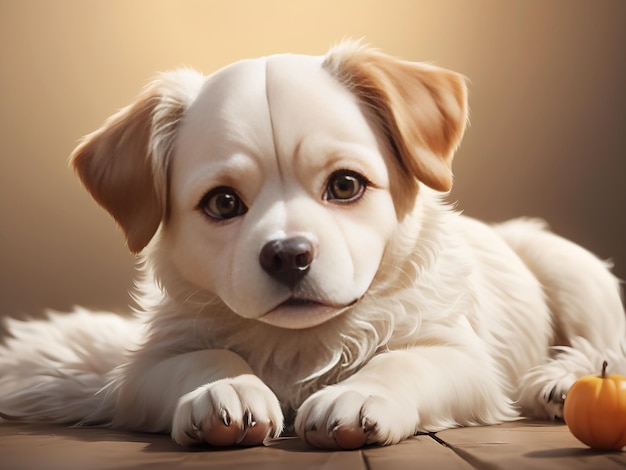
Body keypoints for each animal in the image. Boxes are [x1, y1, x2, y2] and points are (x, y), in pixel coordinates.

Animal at [1, 42, 624, 450]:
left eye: (345, 185)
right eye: (222, 203)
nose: (288, 255)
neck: (300, 342)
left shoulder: (461, 357)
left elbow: (403, 360)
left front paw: (359, 396)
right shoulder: (146, 369)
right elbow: (204, 358)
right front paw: (227, 390)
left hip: (569, 269)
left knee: (608, 343)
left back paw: (561, 383)